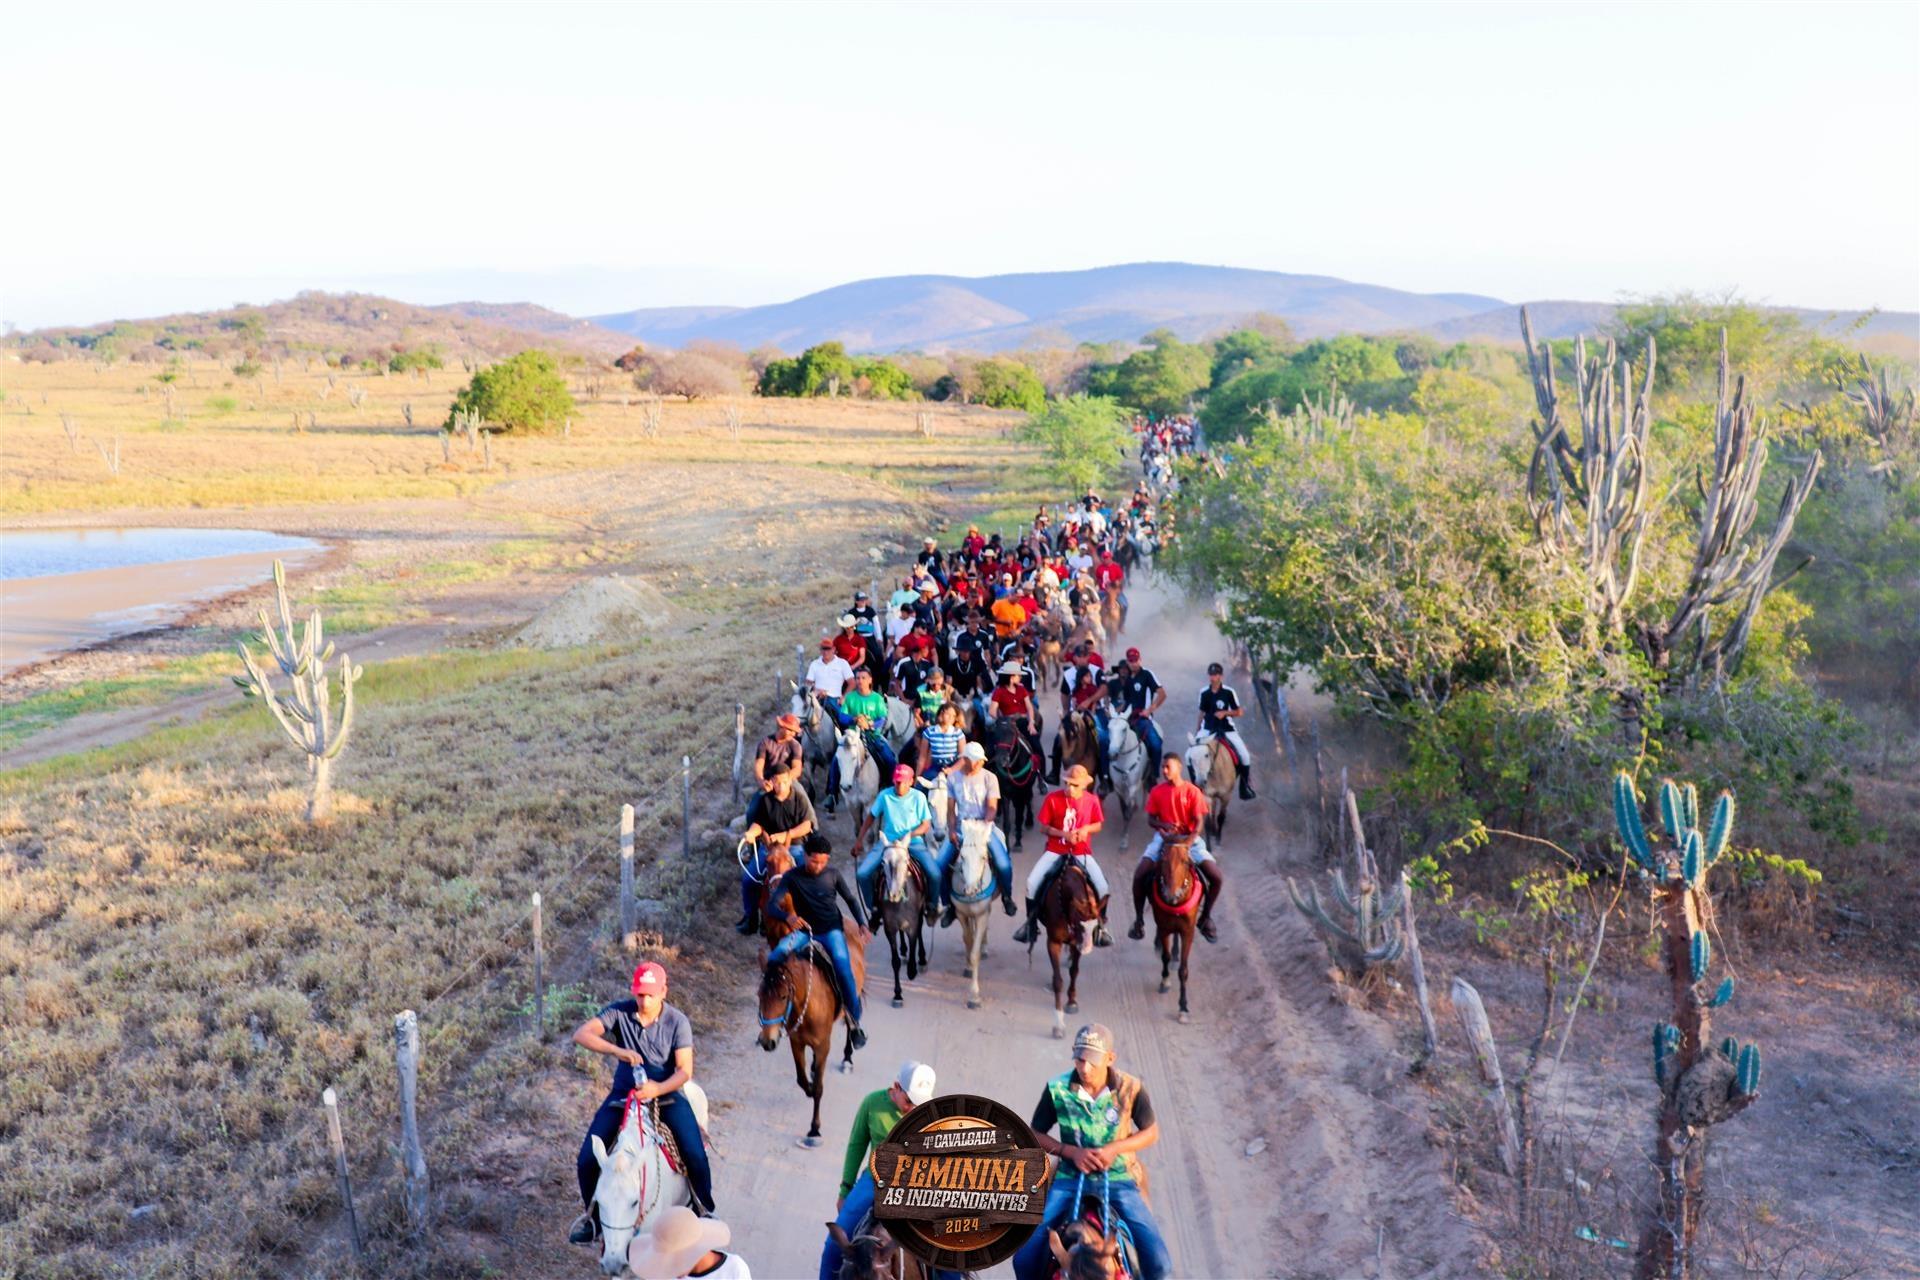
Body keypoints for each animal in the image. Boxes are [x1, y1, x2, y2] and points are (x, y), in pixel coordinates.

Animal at [758, 934, 866, 1146]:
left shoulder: (823, 1046)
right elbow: (802, 1080)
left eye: (783, 997)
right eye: (759, 995)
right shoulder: (796, 1043)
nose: (767, 1041)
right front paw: (808, 1083)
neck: (806, 1006)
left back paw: (848, 1057)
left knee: (850, 1024)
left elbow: (818, 1089)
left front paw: (814, 1130)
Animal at [876, 837, 929, 1008]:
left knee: (920, 930)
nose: (893, 894)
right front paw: (897, 994)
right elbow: (895, 962)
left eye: (905, 861)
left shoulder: (912, 923)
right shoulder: (889, 927)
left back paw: (922, 959)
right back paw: (903, 950)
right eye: (883, 862)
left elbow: (914, 939)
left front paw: (912, 970)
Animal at [1033, 860, 1100, 1039]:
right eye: (1079, 925)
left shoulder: (1076, 943)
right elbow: (1058, 981)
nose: (1087, 948)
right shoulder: (1054, 942)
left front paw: (1072, 1001)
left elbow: (1074, 971)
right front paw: (1058, 1025)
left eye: (1095, 926)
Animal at [1149, 837, 1201, 1024]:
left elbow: (1183, 970)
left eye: (1186, 862)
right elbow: (1165, 955)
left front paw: (1183, 1008)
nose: (1171, 895)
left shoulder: (1188, 931)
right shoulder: (1164, 926)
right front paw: (1165, 982)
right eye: (1163, 860)